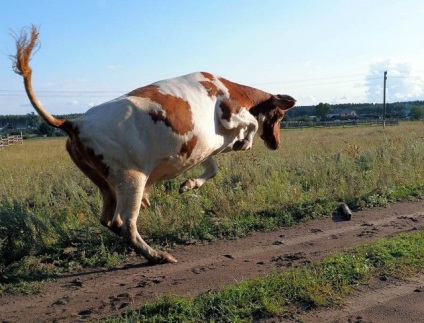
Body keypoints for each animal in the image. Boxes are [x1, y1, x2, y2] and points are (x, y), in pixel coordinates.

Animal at [11, 26, 294, 266]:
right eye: (280, 115)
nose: (277, 144)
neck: (232, 89)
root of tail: (75, 122)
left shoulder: (204, 147)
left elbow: (213, 168)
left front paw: (188, 185)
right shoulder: (230, 113)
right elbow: (251, 124)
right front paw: (244, 143)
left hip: (106, 184)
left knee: (108, 219)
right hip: (131, 178)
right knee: (124, 223)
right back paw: (158, 256)